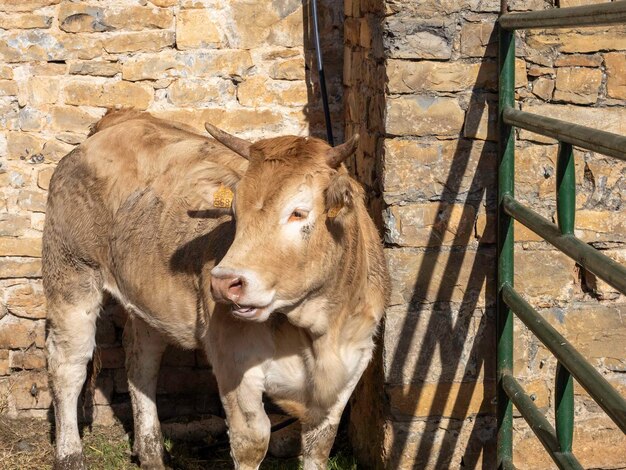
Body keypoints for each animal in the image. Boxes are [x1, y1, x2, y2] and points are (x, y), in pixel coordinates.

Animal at [42, 108, 386, 468]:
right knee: (68, 365)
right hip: (71, 273)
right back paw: (70, 454)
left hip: (146, 299)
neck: (319, 332)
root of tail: (118, 121)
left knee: (141, 361)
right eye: (234, 213)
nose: (223, 282)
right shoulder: (233, 358)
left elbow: (319, 445)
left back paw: (151, 453)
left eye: (298, 212)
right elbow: (252, 440)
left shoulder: (352, 363)